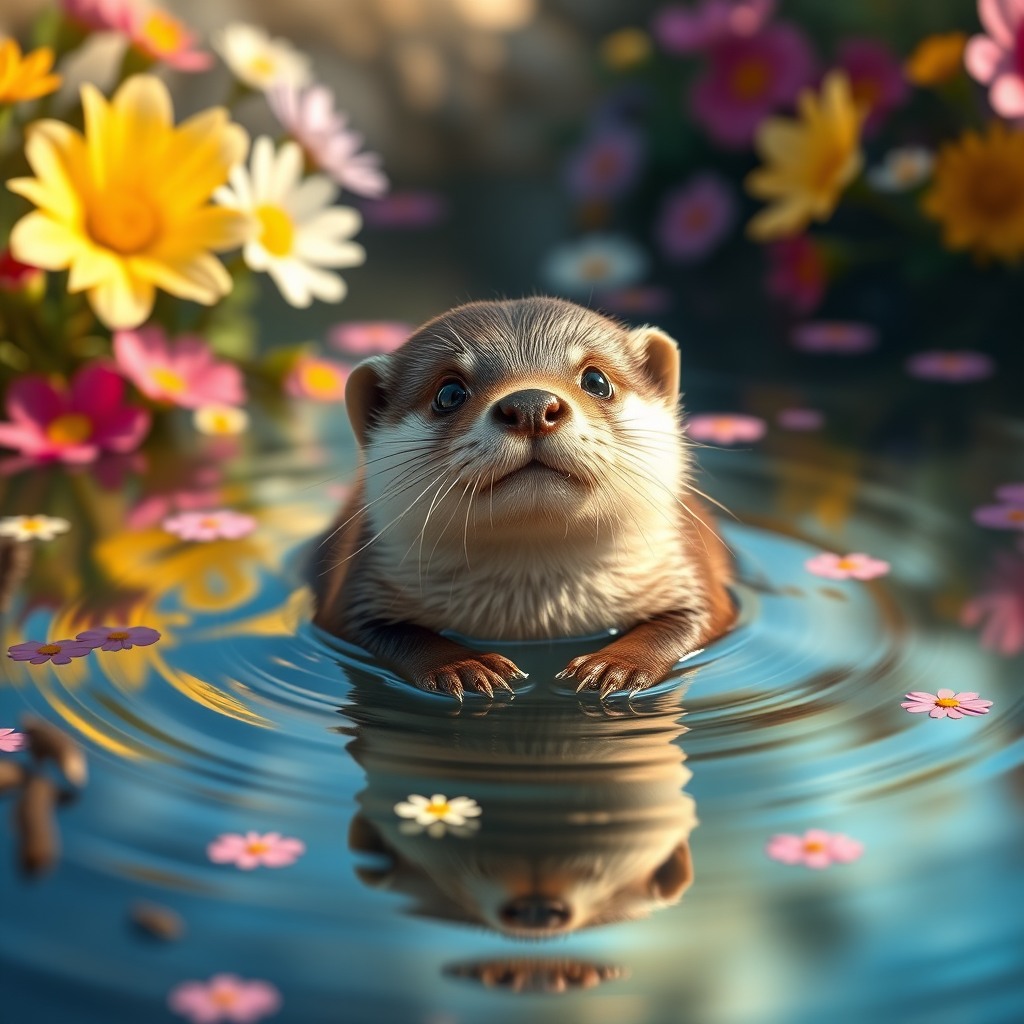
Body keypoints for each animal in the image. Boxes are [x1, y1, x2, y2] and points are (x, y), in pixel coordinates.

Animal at [313, 297, 734, 699]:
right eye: (449, 393)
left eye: (596, 380)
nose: (530, 404)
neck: (532, 618)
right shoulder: (356, 593)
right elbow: (387, 633)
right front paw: (464, 667)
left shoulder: (692, 574)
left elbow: (698, 619)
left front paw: (615, 667)